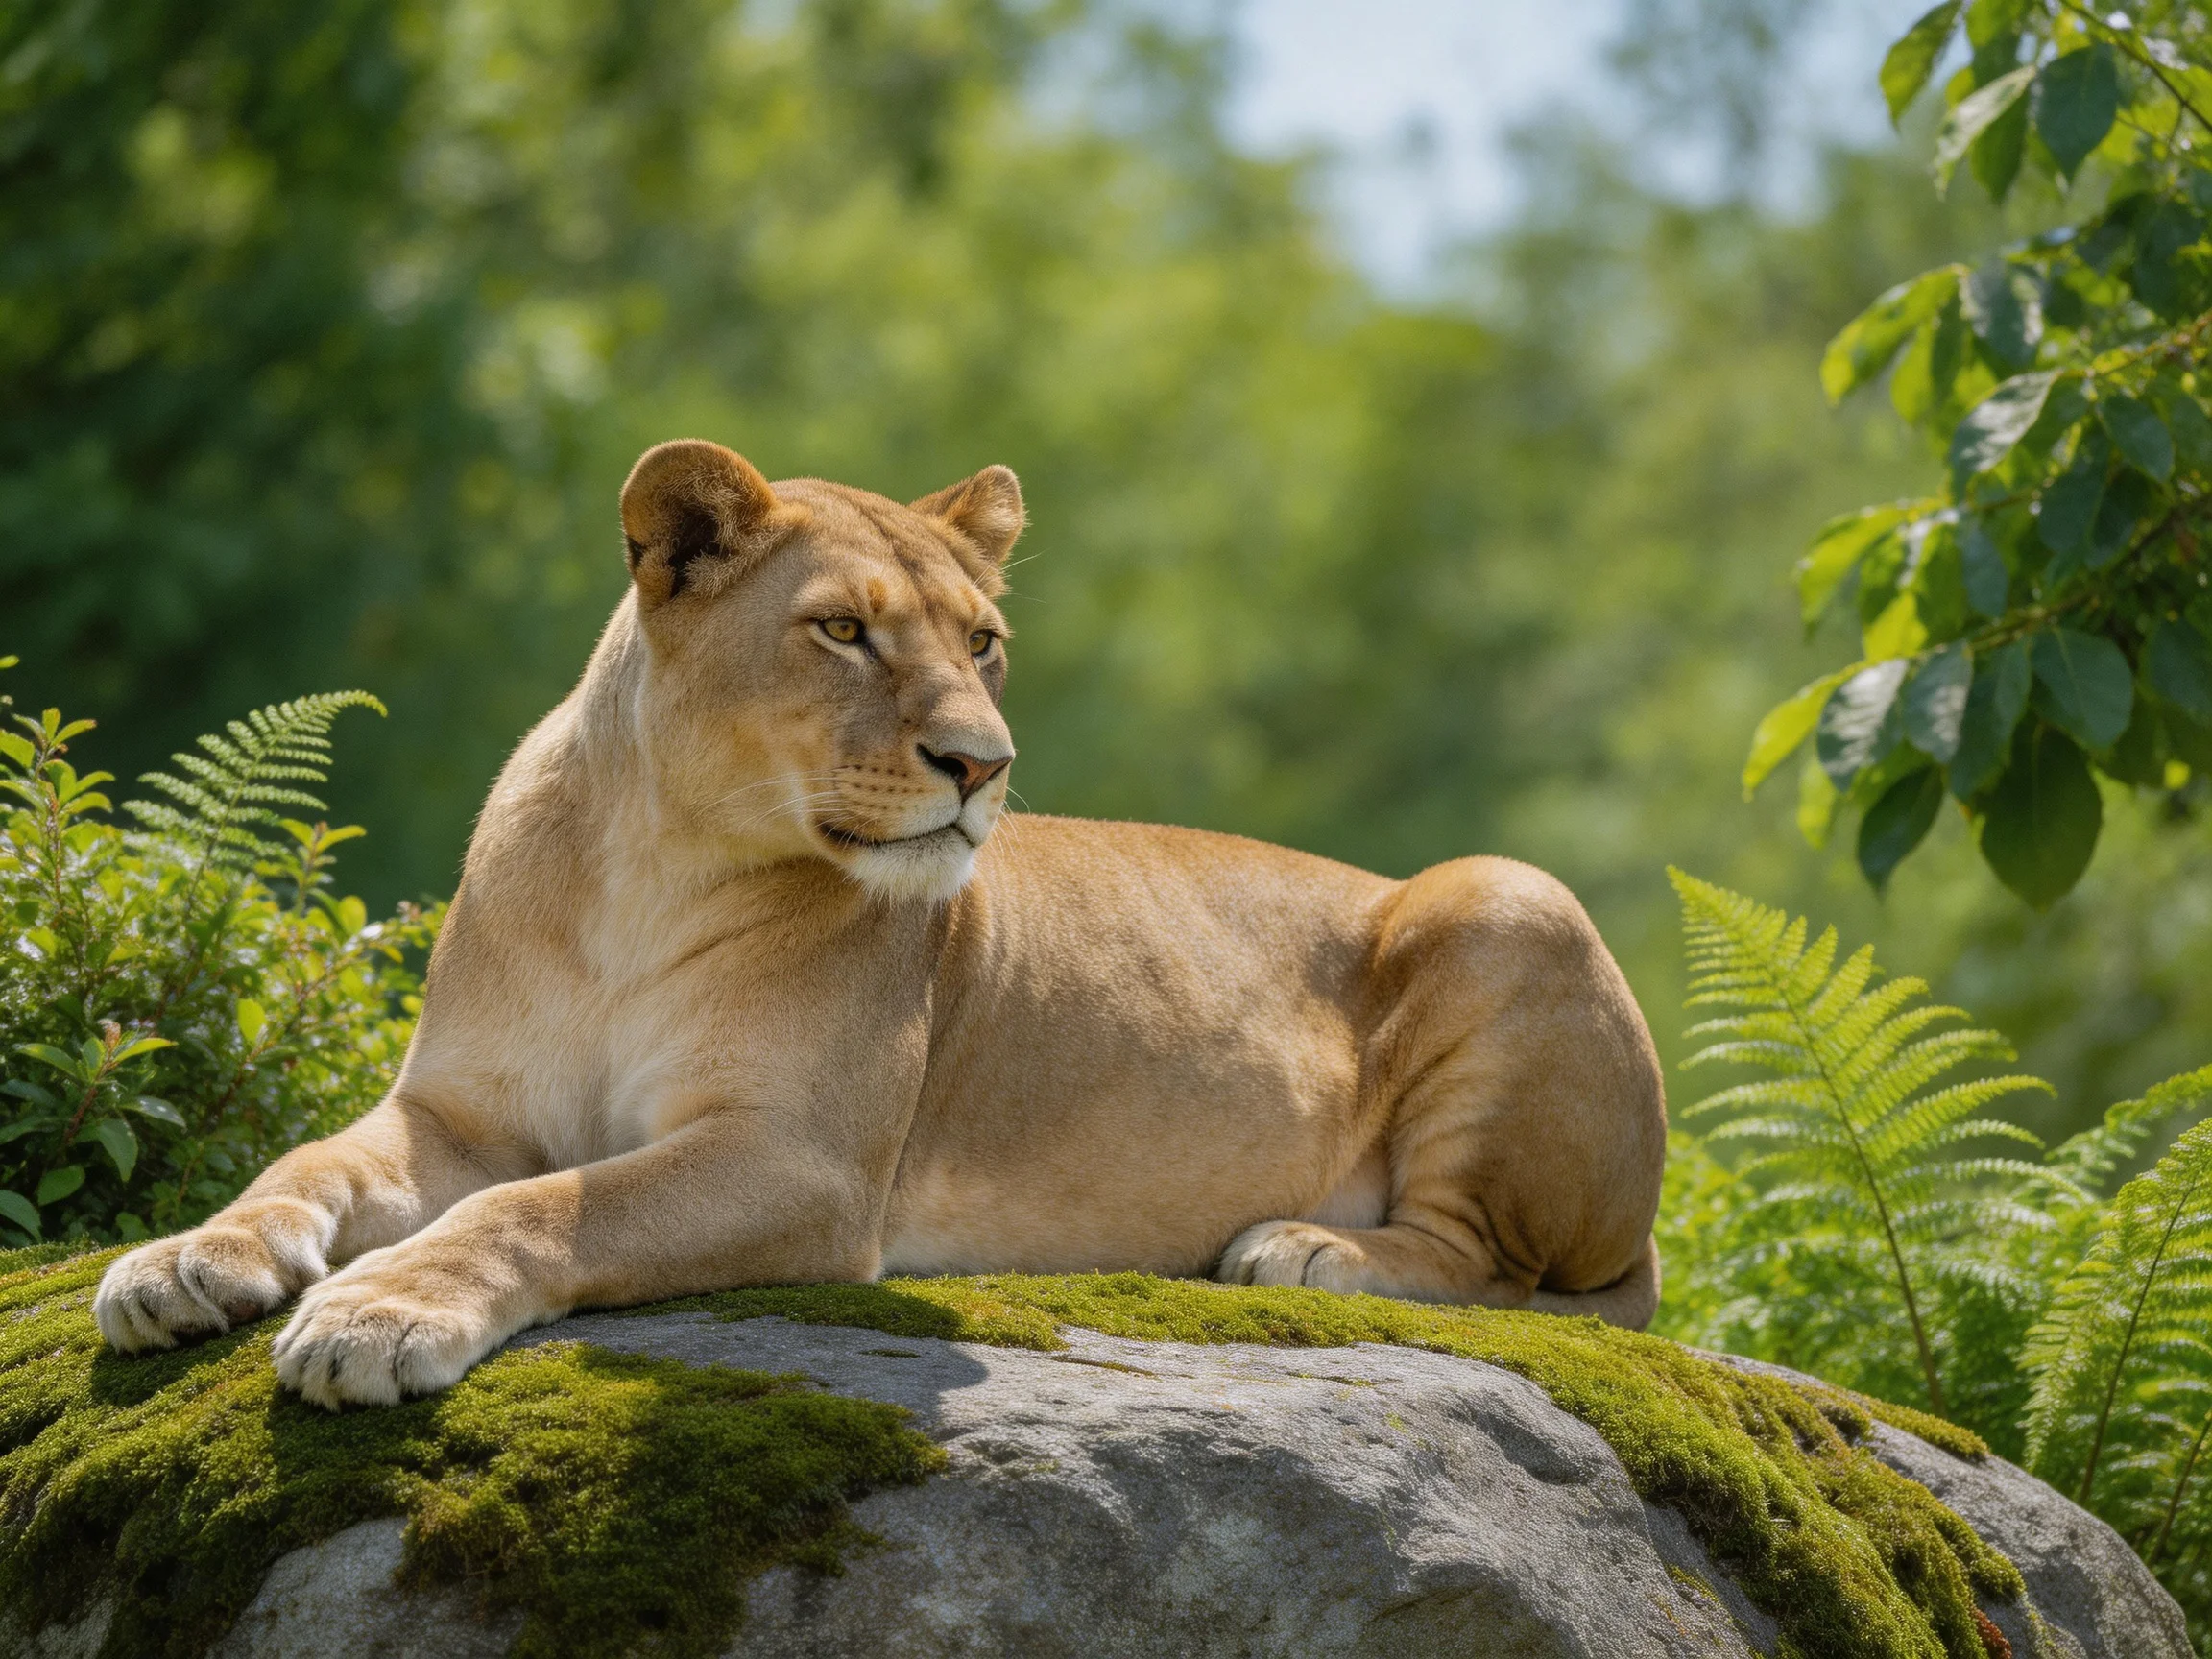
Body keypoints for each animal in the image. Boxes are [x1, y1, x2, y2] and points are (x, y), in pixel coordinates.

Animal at [93, 440, 1668, 1408]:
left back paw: (1311, 1253)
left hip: (1508, 894)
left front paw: (383, 1314)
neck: (645, 870)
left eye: (984, 643)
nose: (986, 765)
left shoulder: (800, 1161)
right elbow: (308, 1162)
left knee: (1508, 1270)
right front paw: (184, 1262)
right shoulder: (459, 1114)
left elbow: (543, 1207)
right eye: (843, 631)